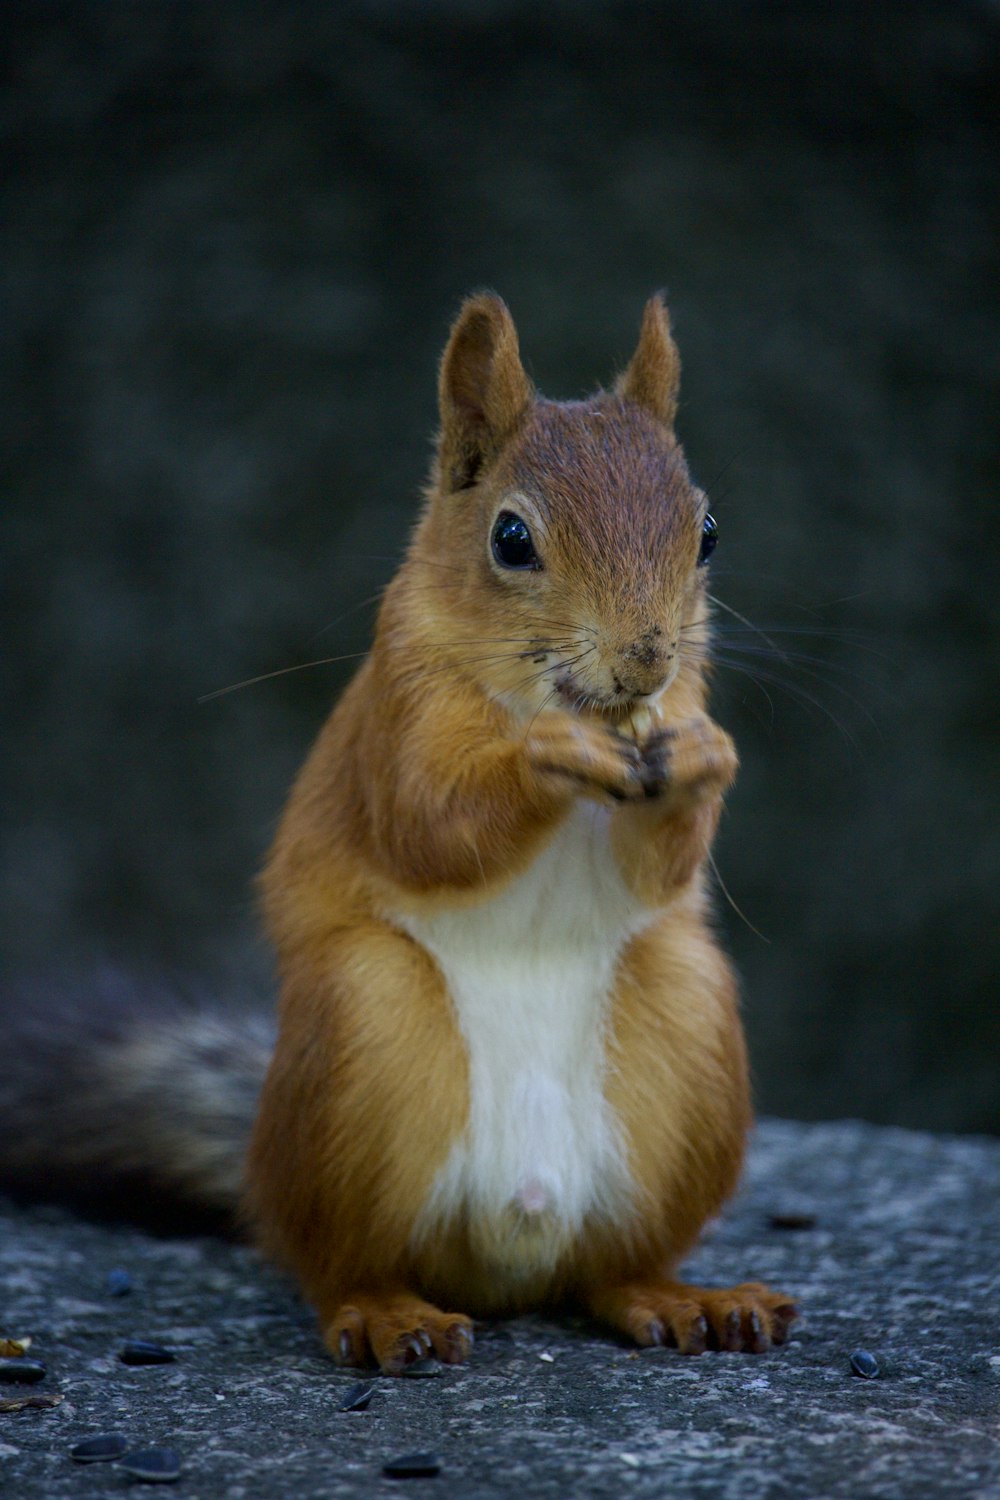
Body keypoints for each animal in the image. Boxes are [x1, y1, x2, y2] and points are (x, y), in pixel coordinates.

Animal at [244, 289, 797, 1374]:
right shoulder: (399, 713)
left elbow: (662, 866)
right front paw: (546, 757)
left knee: (612, 1270)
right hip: (361, 1026)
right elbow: (428, 823)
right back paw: (387, 1314)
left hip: (688, 1027)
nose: (645, 659)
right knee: (337, 1263)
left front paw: (703, 758)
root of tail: (513, 1245)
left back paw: (685, 1299)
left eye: (708, 532)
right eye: (510, 538)